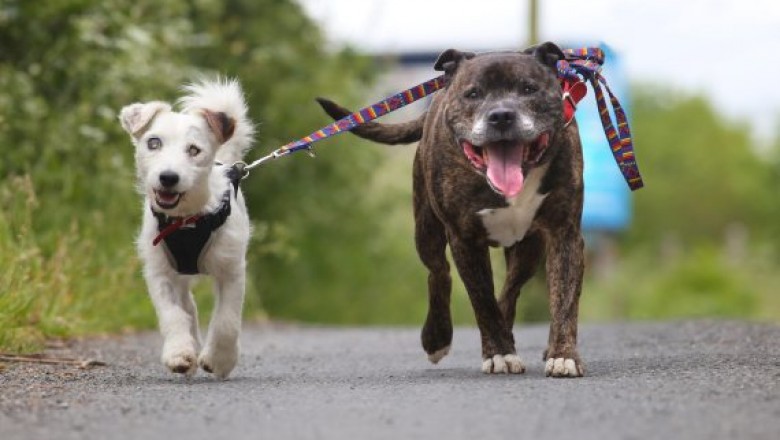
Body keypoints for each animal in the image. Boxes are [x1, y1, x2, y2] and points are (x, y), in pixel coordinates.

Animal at [119, 78, 254, 378]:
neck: (186, 221)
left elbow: (227, 321)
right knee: (188, 308)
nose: (168, 177)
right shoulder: (159, 272)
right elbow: (173, 315)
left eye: (194, 149)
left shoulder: (231, 270)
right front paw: (179, 353)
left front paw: (220, 359)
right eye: (153, 142)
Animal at [316, 43, 584, 376]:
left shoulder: (565, 233)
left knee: (510, 289)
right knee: (439, 273)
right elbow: (482, 300)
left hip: (528, 248)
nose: (501, 116)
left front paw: (563, 355)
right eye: (473, 94)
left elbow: (564, 298)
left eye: (528, 89)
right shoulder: (464, 239)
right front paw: (499, 353)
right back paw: (437, 338)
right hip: (426, 229)